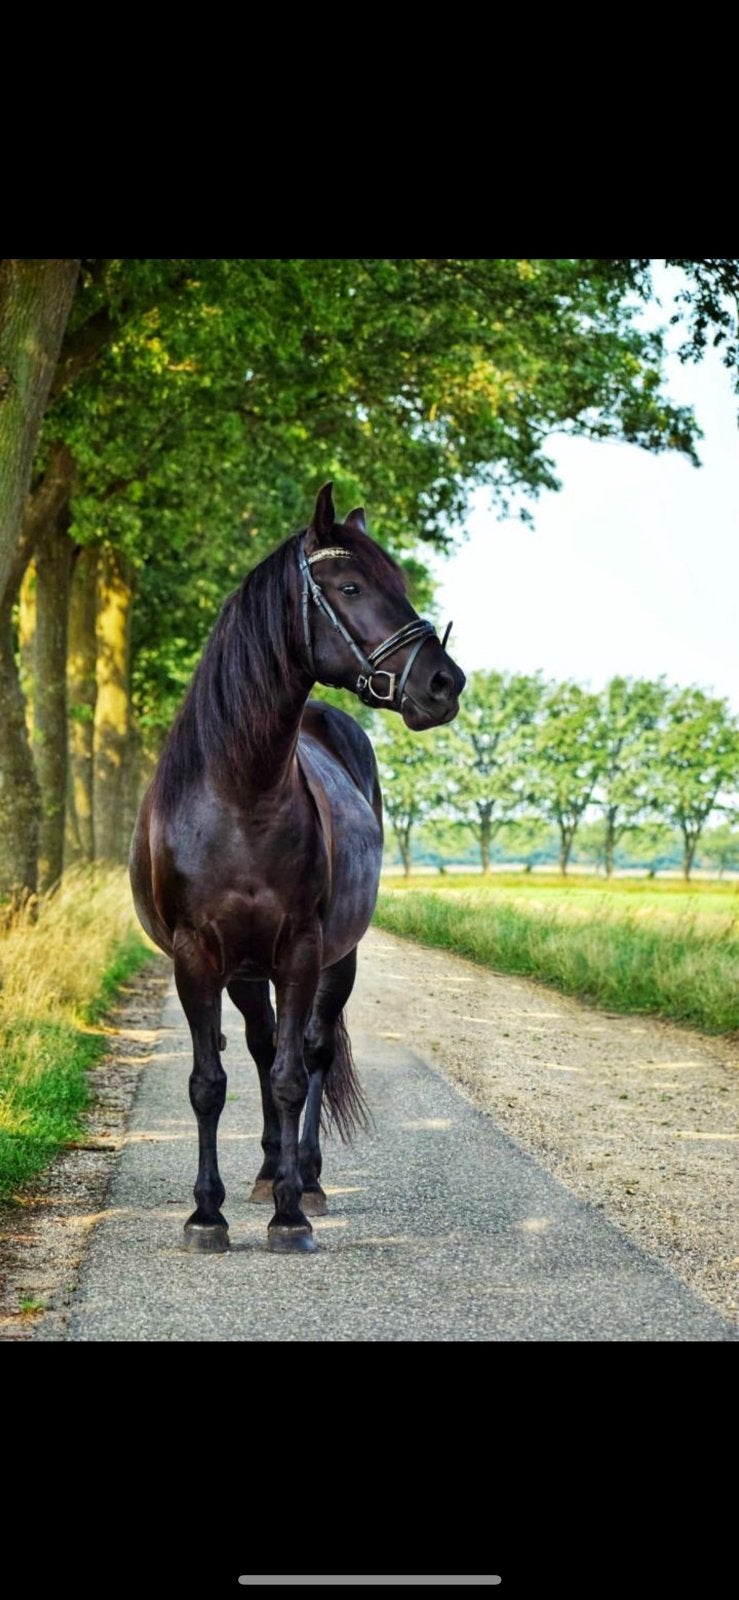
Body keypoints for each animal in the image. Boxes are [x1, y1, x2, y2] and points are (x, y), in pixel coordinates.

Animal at [129, 484, 465, 1254]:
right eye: (350, 586)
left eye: (400, 584)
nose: (444, 683)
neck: (240, 795)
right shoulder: (196, 956)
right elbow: (209, 1081)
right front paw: (207, 1215)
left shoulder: (304, 950)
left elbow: (289, 1075)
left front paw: (290, 1215)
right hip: (247, 970)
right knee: (259, 1047)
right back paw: (263, 1169)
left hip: (336, 960)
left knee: (309, 1052)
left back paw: (301, 1173)